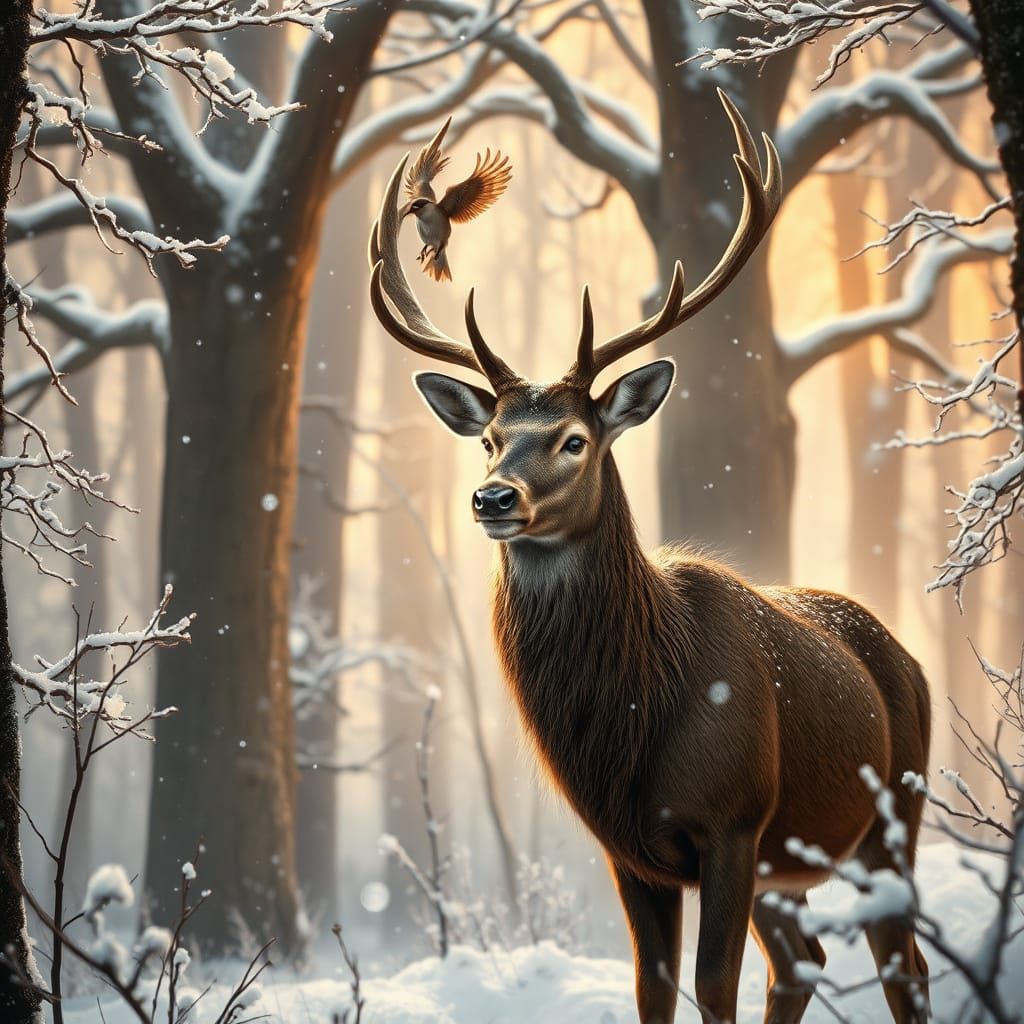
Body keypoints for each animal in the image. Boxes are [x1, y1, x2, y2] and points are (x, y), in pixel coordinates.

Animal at [366, 92, 932, 1024]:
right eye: (488, 439)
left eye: (574, 439)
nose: (493, 500)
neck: (633, 727)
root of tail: (913, 663)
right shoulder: (627, 851)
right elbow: (653, 988)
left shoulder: (733, 820)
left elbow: (713, 985)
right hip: (797, 861)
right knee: (805, 959)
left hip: (892, 820)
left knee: (901, 964)